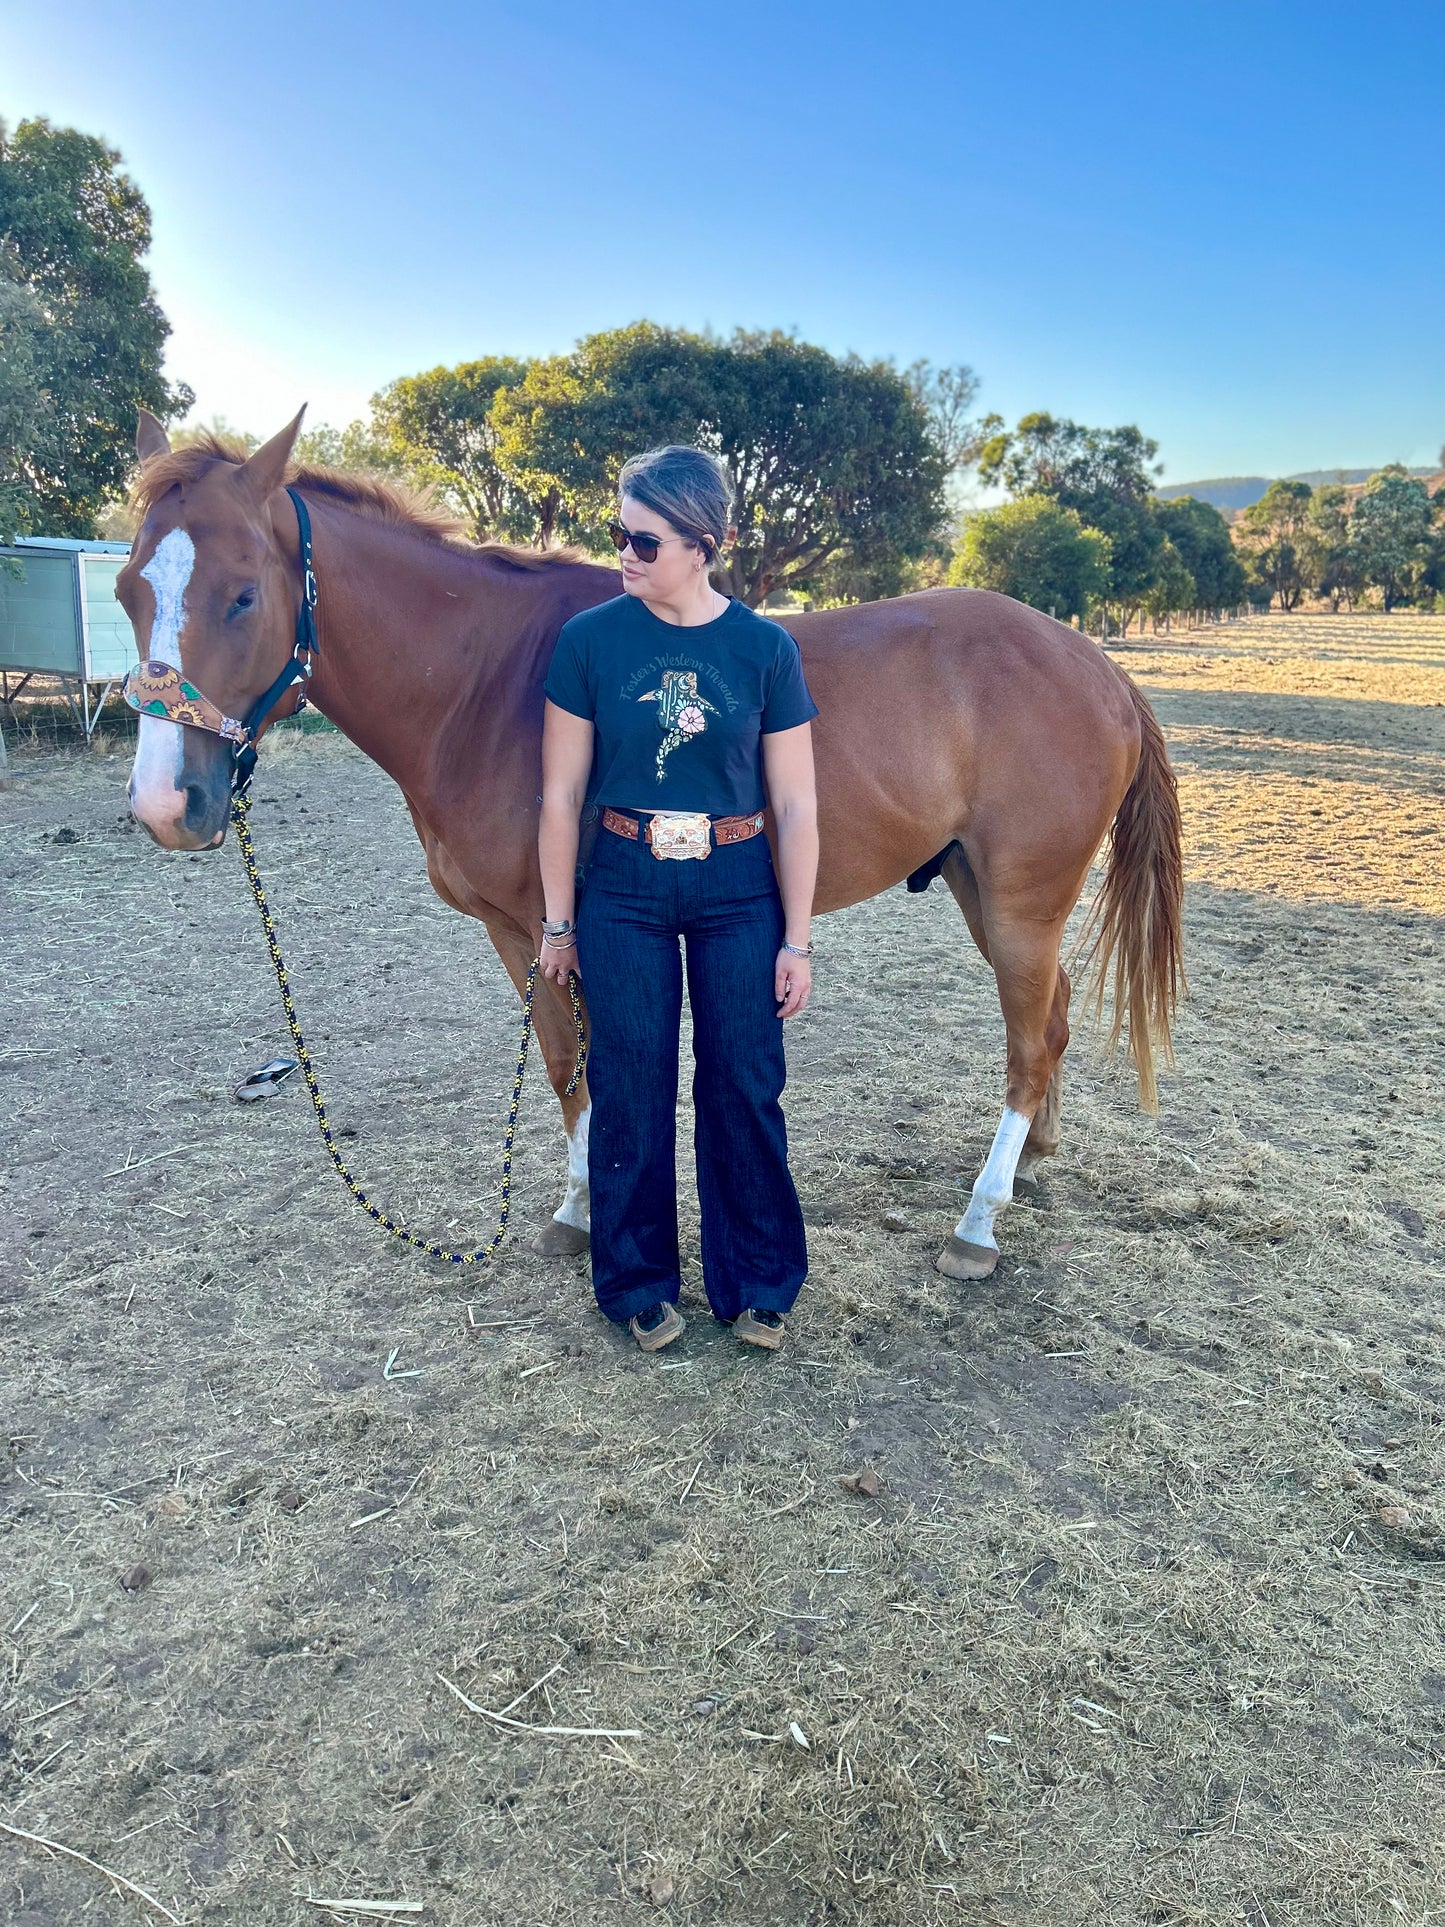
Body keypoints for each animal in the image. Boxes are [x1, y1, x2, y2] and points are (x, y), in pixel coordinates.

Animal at [118, 408, 1179, 1279]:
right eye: (130, 590)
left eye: (243, 595)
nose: (167, 805)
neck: (486, 682)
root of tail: (1098, 665)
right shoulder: (520, 931)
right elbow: (562, 1066)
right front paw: (577, 1209)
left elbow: (602, 1069)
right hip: (977, 889)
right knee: (1053, 1017)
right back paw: (1031, 1164)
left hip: (1020, 900)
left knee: (1028, 1043)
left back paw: (977, 1223)